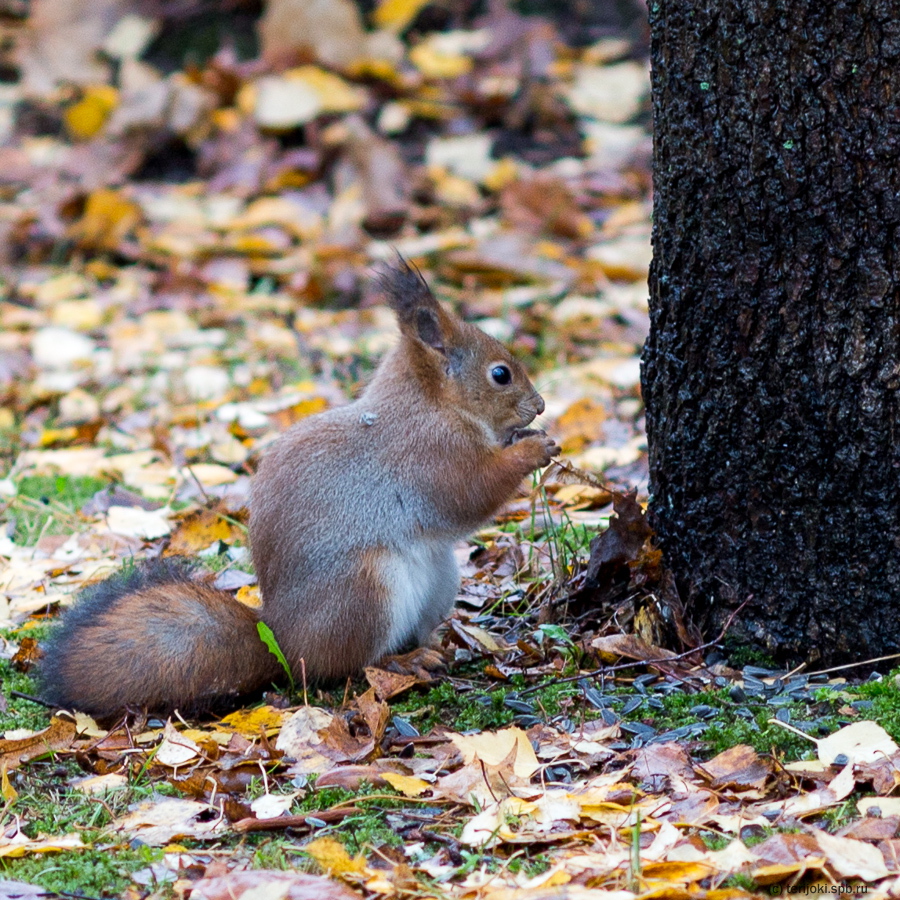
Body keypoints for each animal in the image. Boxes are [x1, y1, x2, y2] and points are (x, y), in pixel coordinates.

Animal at [44, 260, 564, 716]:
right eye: (500, 374)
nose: (539, 405)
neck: (432, 404)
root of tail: (283, 639)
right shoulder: (430, 455)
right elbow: (471, 494)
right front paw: (532, 449)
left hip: (439, 578)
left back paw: (440, 643)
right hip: (366, 590)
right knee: (350, 665)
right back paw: (405, 661)